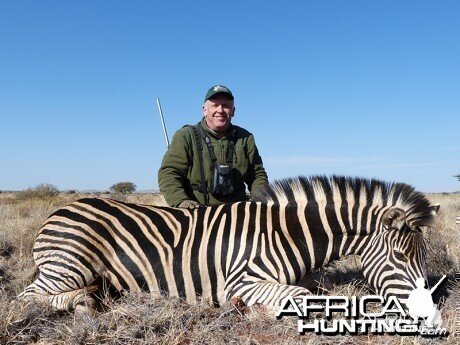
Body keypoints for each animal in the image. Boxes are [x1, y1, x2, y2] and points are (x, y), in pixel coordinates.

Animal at [19, 176, 440, 314]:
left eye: (422, 257)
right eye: (400, 256)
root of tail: (61, 209)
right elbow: (302, 296)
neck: (286, 234)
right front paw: (253, 310)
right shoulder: (243, 279)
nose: (426, 309)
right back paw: (84, 302)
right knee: (27, 297)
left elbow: (312, 289)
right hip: (70, 264)